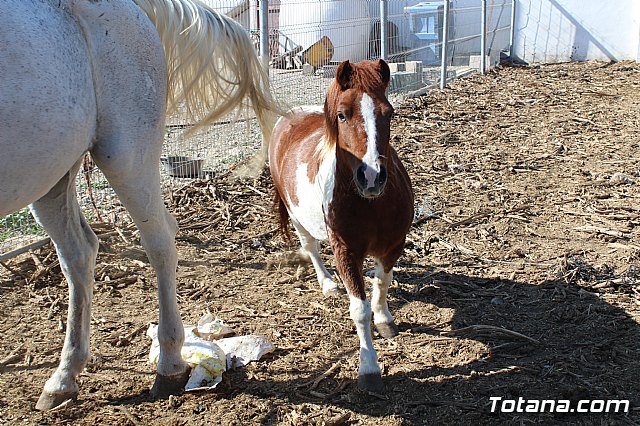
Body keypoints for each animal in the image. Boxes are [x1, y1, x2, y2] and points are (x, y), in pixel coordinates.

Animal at [1, 0, 278, 410]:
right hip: (50, 173)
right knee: (79, 254)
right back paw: (64, 378)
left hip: (124, 155)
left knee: (160, 243)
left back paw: (169, 363)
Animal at [268, 59, 412, 392]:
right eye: (342, 114)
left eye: (389, 112)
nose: (372, 178)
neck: (371, 204)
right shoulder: (346, 253)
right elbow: (359, 309)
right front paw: (369, 368)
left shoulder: (393, 245)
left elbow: (383, 282)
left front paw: (384, 319)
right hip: (297, 219)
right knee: (311, 249)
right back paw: (328, 284)